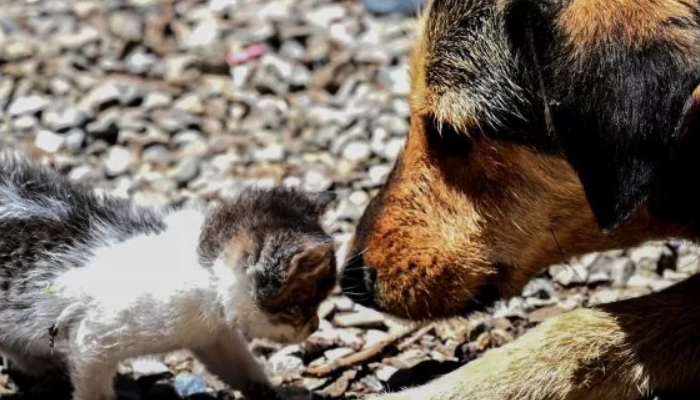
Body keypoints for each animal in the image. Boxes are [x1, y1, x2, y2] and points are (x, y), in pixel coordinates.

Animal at [0, 153, 336, 400]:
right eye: (297, 307)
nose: (315, 326)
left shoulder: (211, 334)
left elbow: (237, 362)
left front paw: (265, 390)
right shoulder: (93, 339)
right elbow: (92, 387)